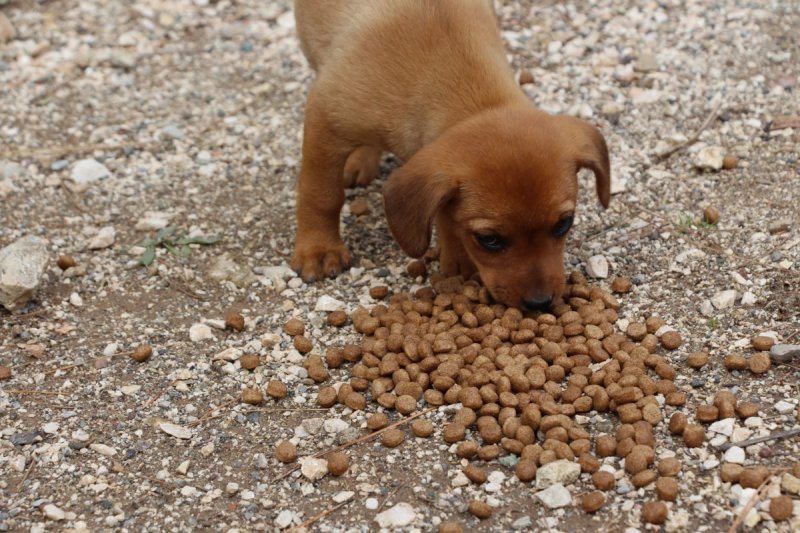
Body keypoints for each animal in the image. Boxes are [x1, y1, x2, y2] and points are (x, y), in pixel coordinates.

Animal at [290, 0, 608, 310]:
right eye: (489, 239)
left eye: (563, 224)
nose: (540, 304)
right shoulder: (324, 119)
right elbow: (321, 196)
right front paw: (319, 250)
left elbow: (446, 214)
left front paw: (456, 262)